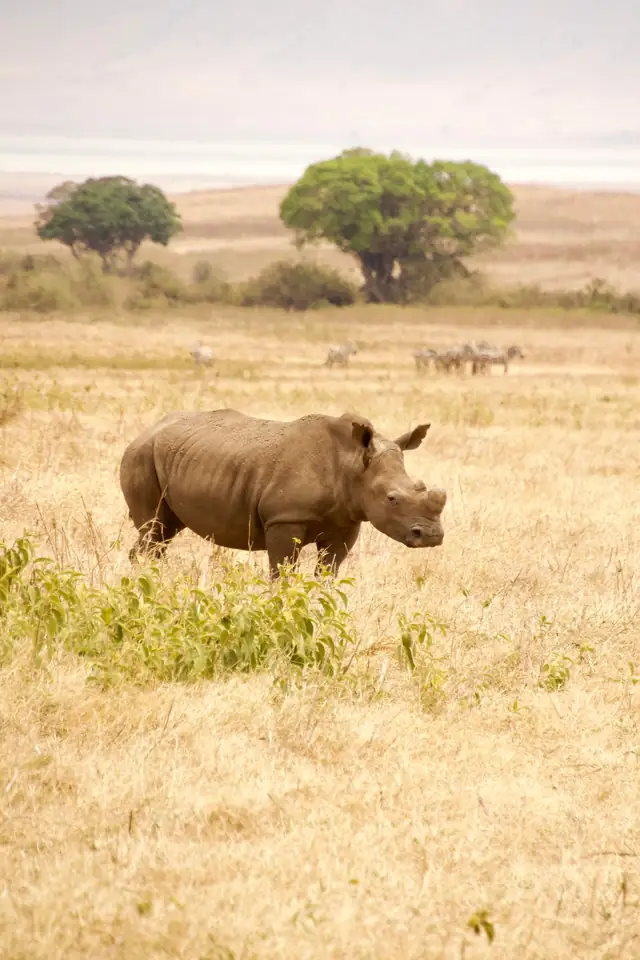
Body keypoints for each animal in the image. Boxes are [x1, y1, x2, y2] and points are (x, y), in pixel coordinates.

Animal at [119, 408, 447, 578]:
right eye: (392, 499)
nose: (432, 536)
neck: (353, 464)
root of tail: (145, 432)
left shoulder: (348, 521)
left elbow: (328, 572)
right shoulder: (285, 519)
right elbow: (282, 573)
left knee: (163, 533)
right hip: (140, 456)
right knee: (153, 529)